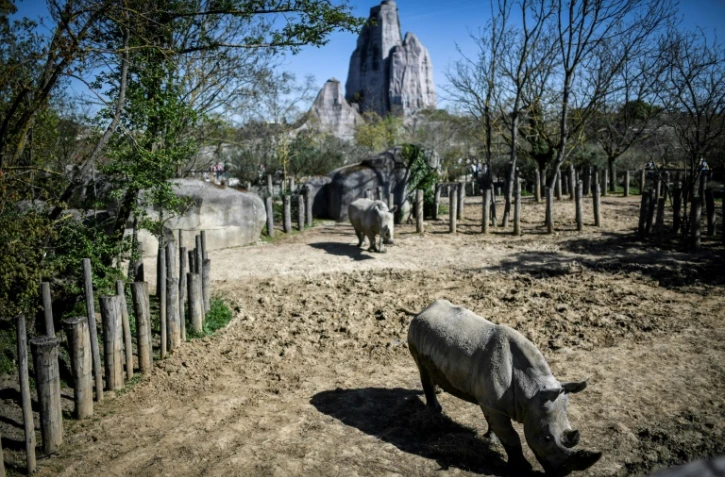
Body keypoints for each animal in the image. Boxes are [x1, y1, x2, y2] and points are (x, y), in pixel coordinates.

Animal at [407, 299, 602, 475]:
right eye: (547, 438)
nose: (563, 473)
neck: (531, 391)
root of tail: (424, 309)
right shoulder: (493, 405)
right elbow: (511, 436)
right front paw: (522, 468)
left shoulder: (493, 404)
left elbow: (497, 427)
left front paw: (491, 440)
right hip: (415, 331)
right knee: (422, 369)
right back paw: (434, 410)